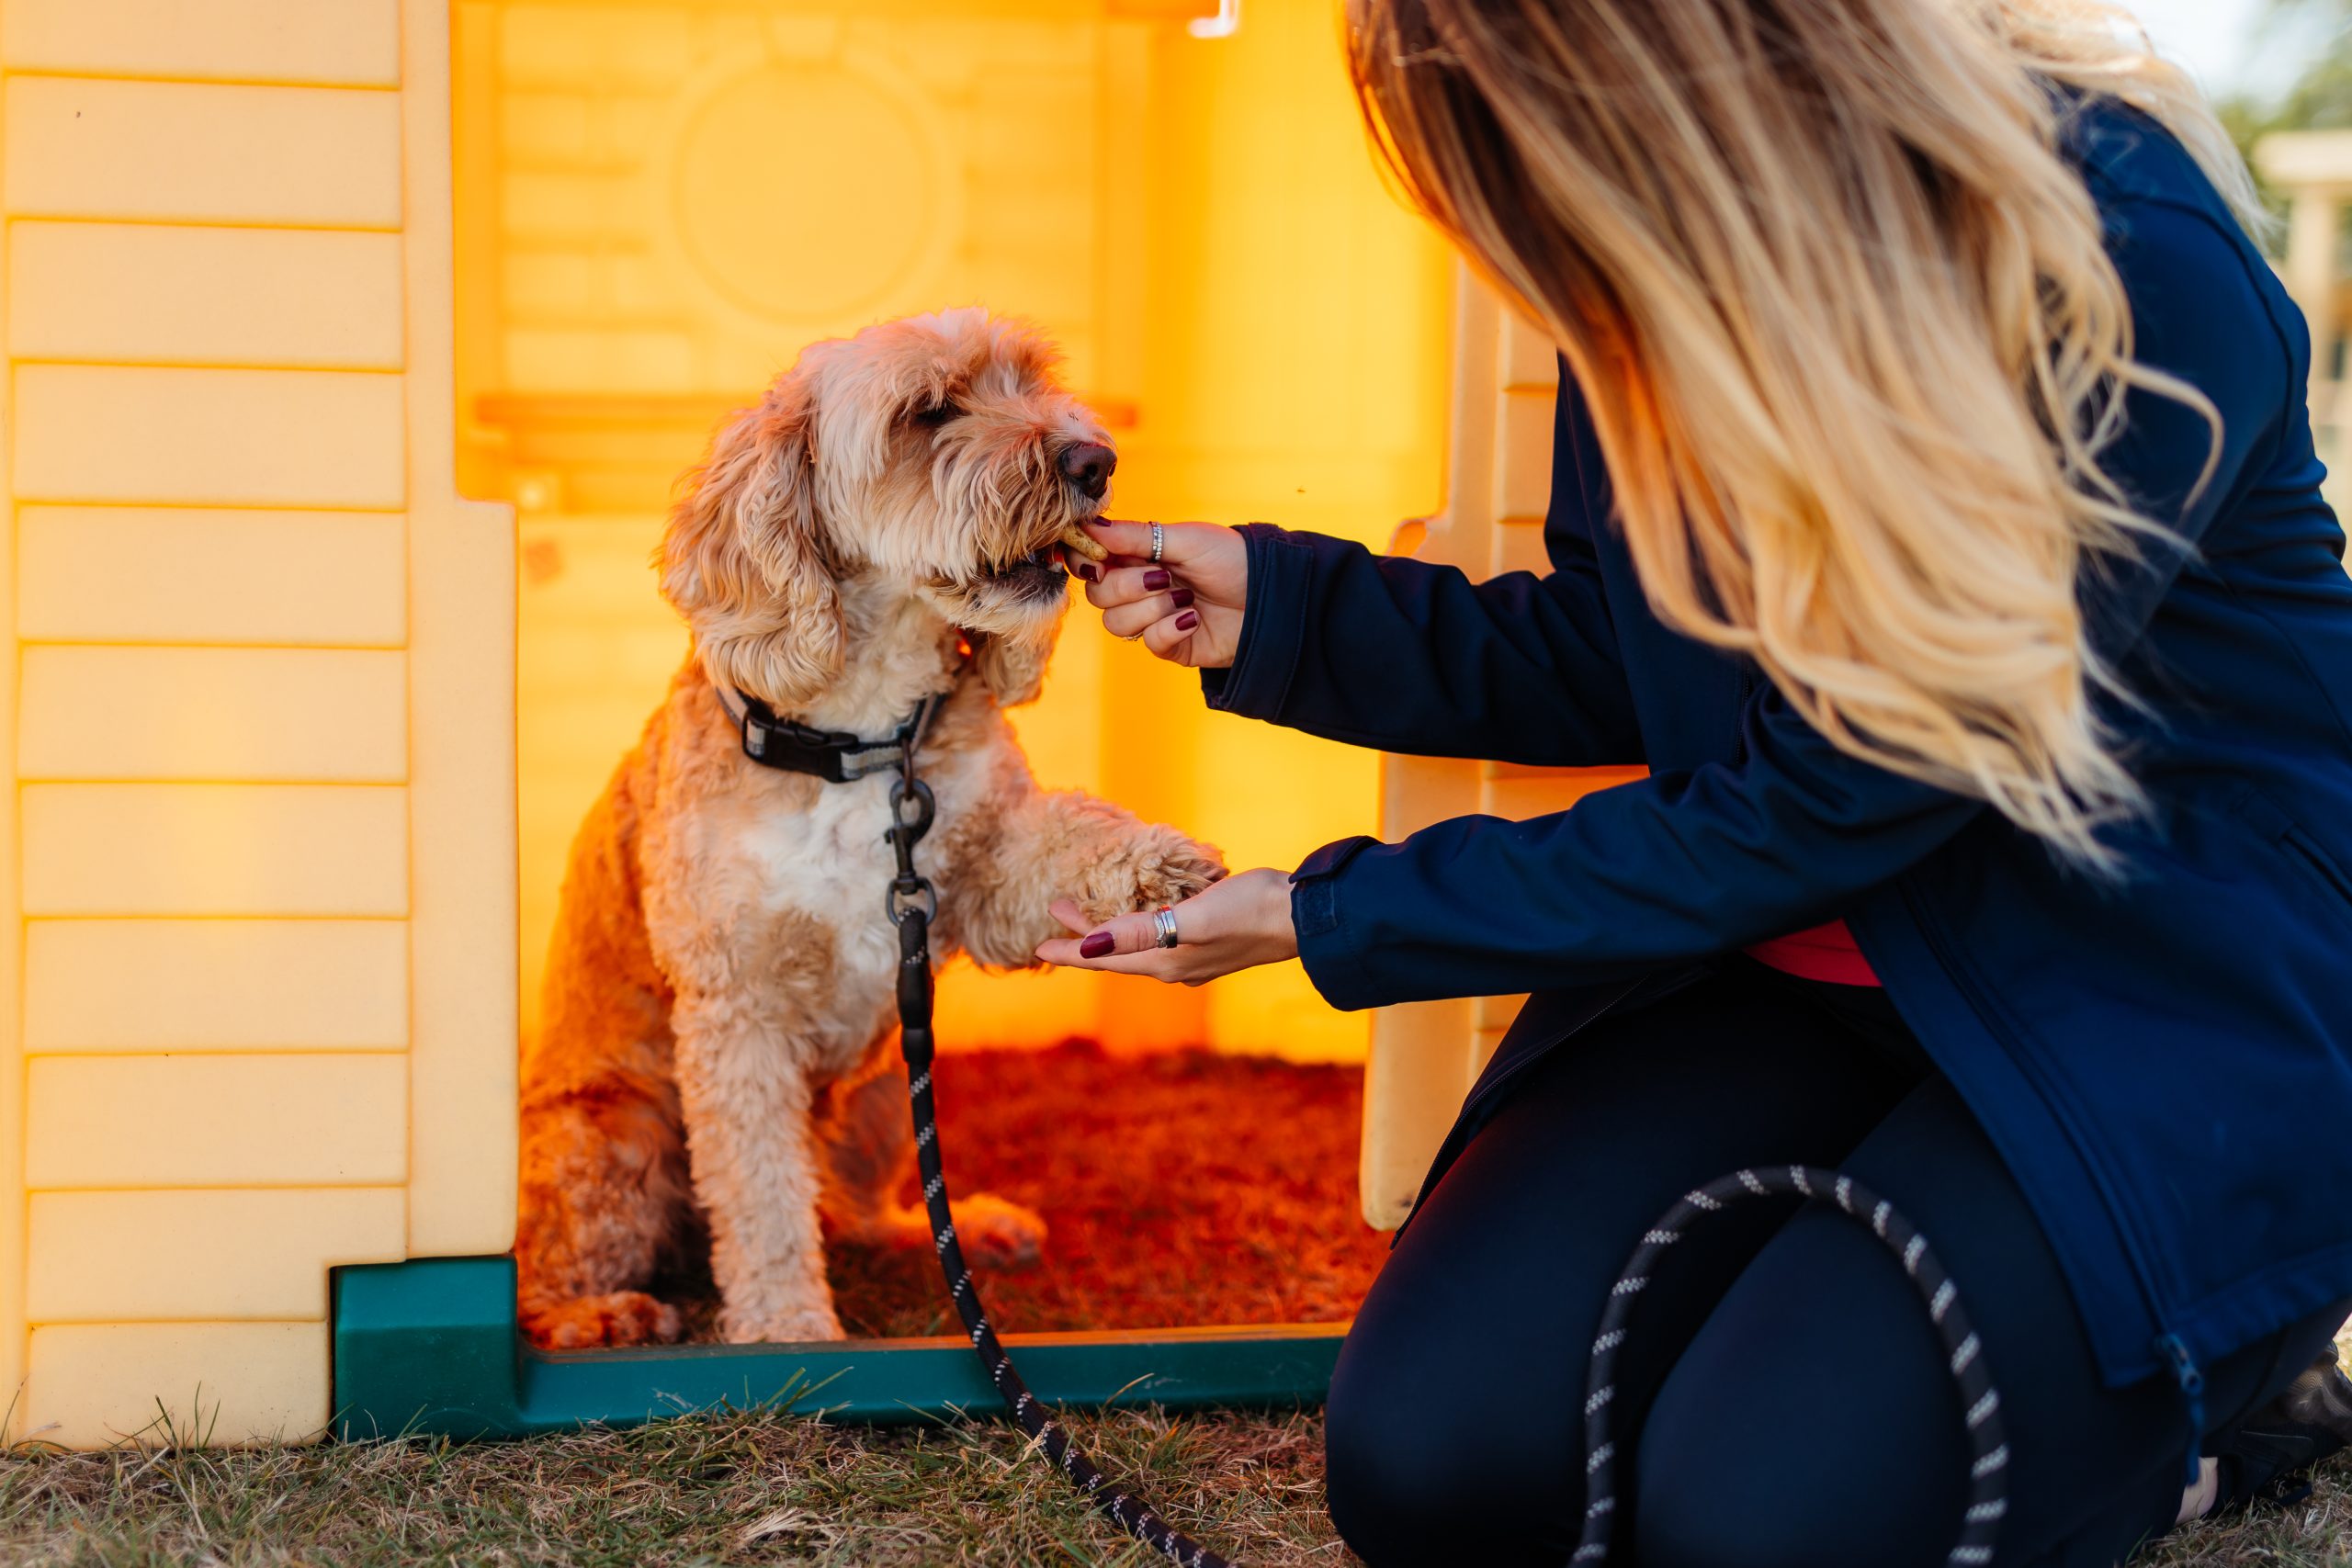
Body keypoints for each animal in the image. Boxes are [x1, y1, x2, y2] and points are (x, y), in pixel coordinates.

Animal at [519, 310, 1232, 1354]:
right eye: (927, 411)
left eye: (1029, 380)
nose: (1094, 459)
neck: (862, 739)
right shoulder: (737, 1008)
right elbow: (760, 1198)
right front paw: (786, 1327)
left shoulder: (979, 872)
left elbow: (1062, 842)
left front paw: (1159, 862)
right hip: (612, 1131)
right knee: (545, 1270)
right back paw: (602, 1313)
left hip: (887, 1091)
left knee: (849, 1212)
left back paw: (965, 1223)